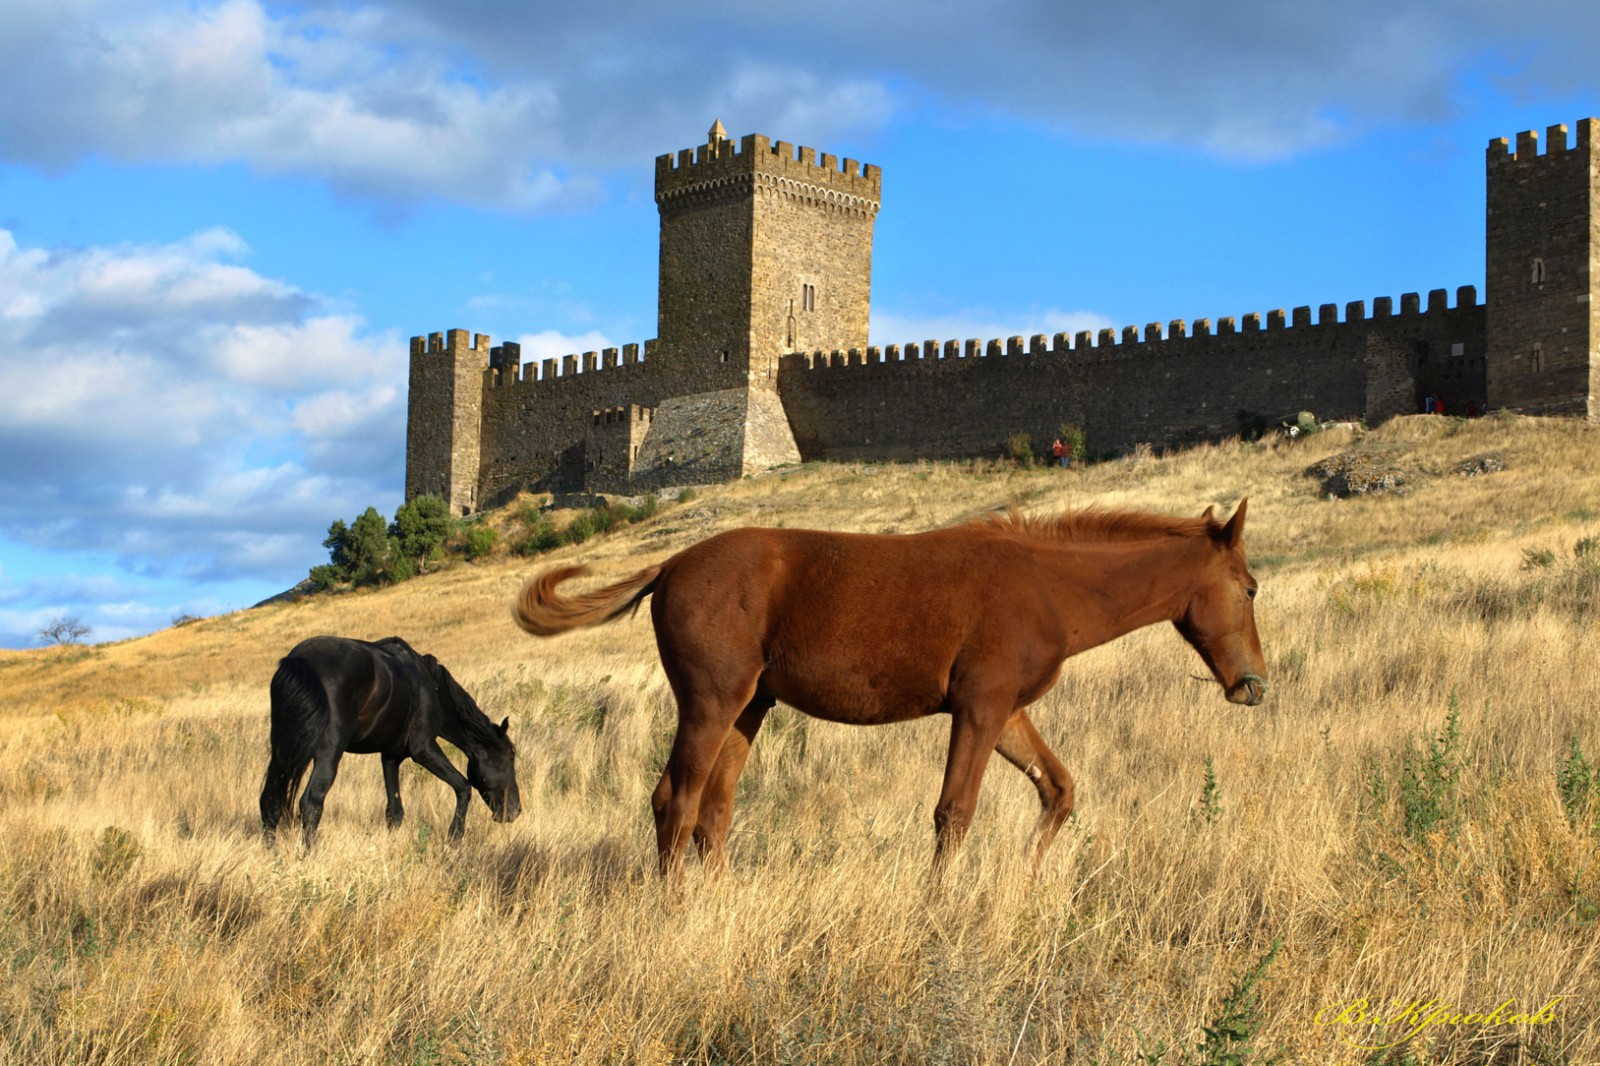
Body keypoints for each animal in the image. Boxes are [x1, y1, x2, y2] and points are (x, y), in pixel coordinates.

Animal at [256, 630, 518, 845]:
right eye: (509, 758)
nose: (515, 810)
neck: (429, 685)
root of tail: (299, 661)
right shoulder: (424, 749)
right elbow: (464, 787)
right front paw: (454, 837)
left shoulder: (390, 757)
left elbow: (395, 811)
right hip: (327, 753)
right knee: (311, 803)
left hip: (285, 749)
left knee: (270, 802)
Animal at [518, 499, 1267, 870]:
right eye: (1252, 587)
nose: (1253, 684)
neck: (1047, 587)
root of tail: (670, 566)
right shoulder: (979, 708)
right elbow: (953, 814)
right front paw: (938, 917)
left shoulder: (1004, 713)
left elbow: (1058, 791)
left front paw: (1024, 884)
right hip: (710, 704)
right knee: (674, 803)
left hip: (749, 707)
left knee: (713, 814)